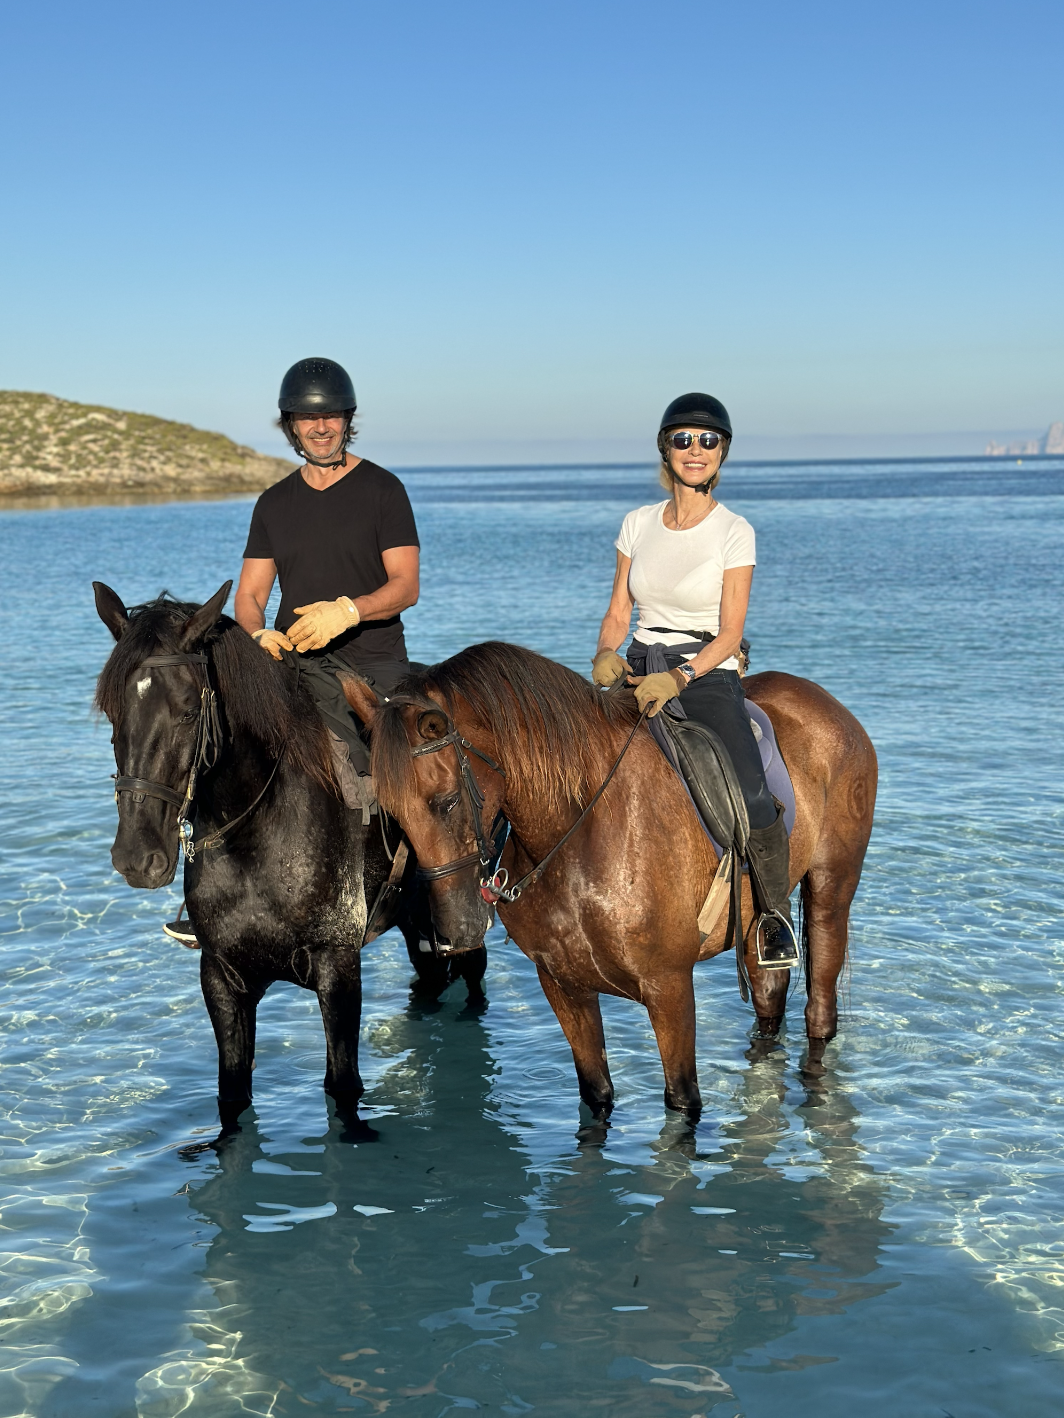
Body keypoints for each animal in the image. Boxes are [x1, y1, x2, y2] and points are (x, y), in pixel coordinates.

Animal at [93, 581, 486, 1127]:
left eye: (189, 711)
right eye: (113, 713)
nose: (136, 855)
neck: (258, 836)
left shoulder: (338, 971)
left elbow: (342, 1086)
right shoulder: (222, 979)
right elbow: (232, 1093)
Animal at [344, 642, 877, 1121]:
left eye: (448, 801)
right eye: (392, 815)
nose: (456, 932)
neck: (581, 828)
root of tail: (821, 700)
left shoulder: (670, 987)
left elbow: (682, 1104)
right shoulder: (563, 986)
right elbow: (596, 1096)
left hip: (830, 889)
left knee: (819, 1009)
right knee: (769, 998)